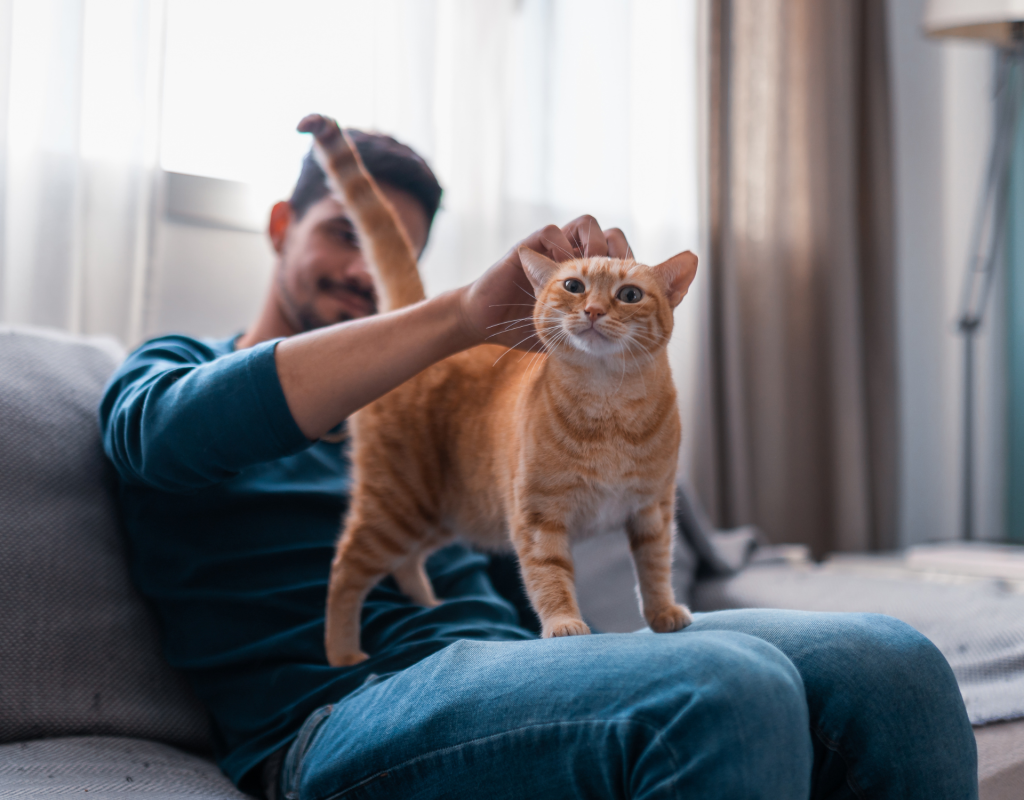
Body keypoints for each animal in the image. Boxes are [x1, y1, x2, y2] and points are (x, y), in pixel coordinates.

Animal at [296, 110, 696, 659]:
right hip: (398, 504)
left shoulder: (652, 510)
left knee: (405, 563)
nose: (593, 311)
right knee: (345, 567)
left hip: (443, 514)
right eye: (573, 286)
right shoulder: (538, 518)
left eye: (630, 295)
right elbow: (548, 576)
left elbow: (655, 569)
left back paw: (429, 604)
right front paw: (564, 624)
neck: (609, 404)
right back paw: (343, 653)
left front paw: (663, 614)